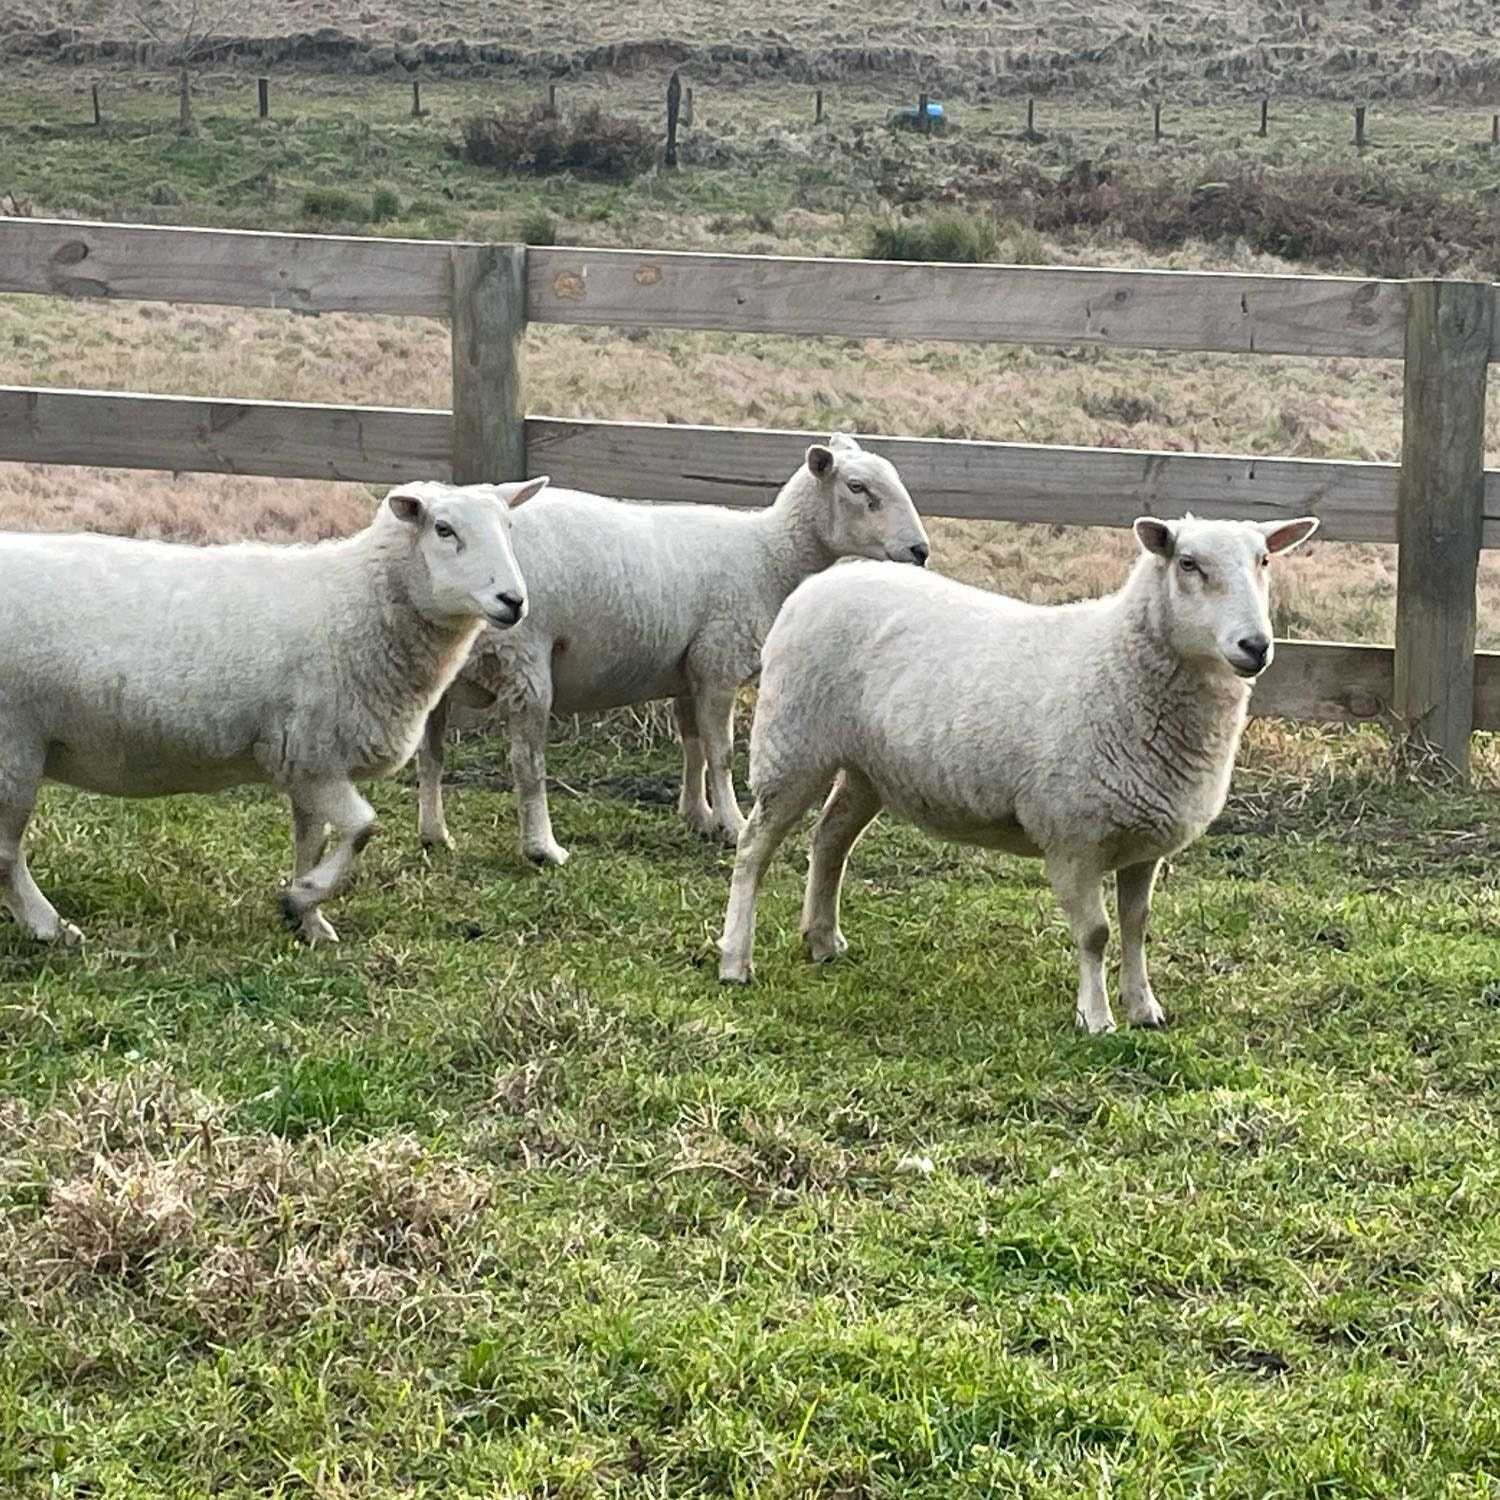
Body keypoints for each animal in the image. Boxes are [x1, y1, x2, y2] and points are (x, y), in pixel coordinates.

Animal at [0, 477, 547, 947]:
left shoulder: (304, 763)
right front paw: (299, 897)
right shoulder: (314, 756)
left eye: (509, 527)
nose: (513, 601)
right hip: (14, 748)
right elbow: (363, 827)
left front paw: (310, 922)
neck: (355, 604)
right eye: (444, 529)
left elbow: (311, 841)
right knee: (6, 854)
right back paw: (48, 927)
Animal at [415, 435, 930, 866]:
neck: (770, 555)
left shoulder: (688, 669)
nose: (920, 551)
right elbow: (721, 753)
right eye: (858, 487)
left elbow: (693, 747)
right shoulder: (719, 662)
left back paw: (434, 834)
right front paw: (731, 824)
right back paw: (542, 847)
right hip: (523, 658)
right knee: (527, 762)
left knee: (430, 754)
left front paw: (698, 816)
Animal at [717, 513, 1319, 1033]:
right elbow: (1097, 933)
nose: (1256, 646)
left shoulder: (1143, 840)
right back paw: (735, 959)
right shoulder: (1074, 836)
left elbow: (1137, 926)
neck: (1119, 665)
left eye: (1265, 559)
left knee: (829, 839)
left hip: (869, 766)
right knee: (753, 851)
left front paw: (1144, 1007)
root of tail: (822, 580)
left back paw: (822, 940)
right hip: (792, 744)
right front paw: (1096, 1018)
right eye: (1189, 563)